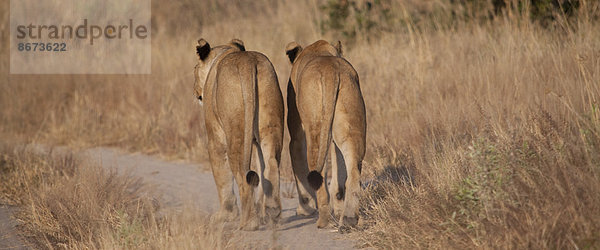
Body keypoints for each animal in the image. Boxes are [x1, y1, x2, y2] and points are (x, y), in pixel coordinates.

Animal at [193, 37, 284, 230]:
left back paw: (248, 223)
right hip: (270, 124)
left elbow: (222, 176)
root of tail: (247, 61)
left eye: (195, 69)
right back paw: (273, 213)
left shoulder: (215, 137)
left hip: (236, 134)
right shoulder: (255, 141)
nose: (195, 91)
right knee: (271, 165)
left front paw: (225, 215)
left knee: (243, 177)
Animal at [284, 40, 366, 231]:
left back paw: (324, 220)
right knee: (352, 171)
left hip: (315, 127)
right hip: (350, 124)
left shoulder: (296, 137)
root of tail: (330, 71)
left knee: (317, 172)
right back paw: (349, 218)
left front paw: (304, 209)